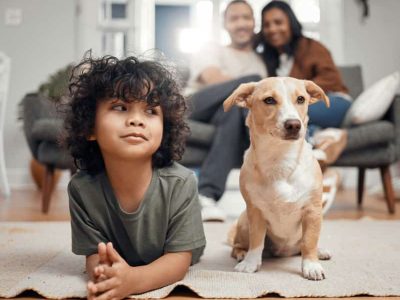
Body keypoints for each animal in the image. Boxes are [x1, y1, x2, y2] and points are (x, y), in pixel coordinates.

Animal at [225, 76, 332, 280]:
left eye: (301, 99)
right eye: (269, 100)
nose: (294, 125)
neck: (280, 159)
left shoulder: (313, 211)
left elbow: (309, 241)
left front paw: (311, 265)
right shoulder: (255, 211)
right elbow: (256, 241)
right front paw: (251, 263)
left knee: (304, 245)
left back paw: (320, 251)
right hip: (243, 221)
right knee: (237, 246)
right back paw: (242, 254)